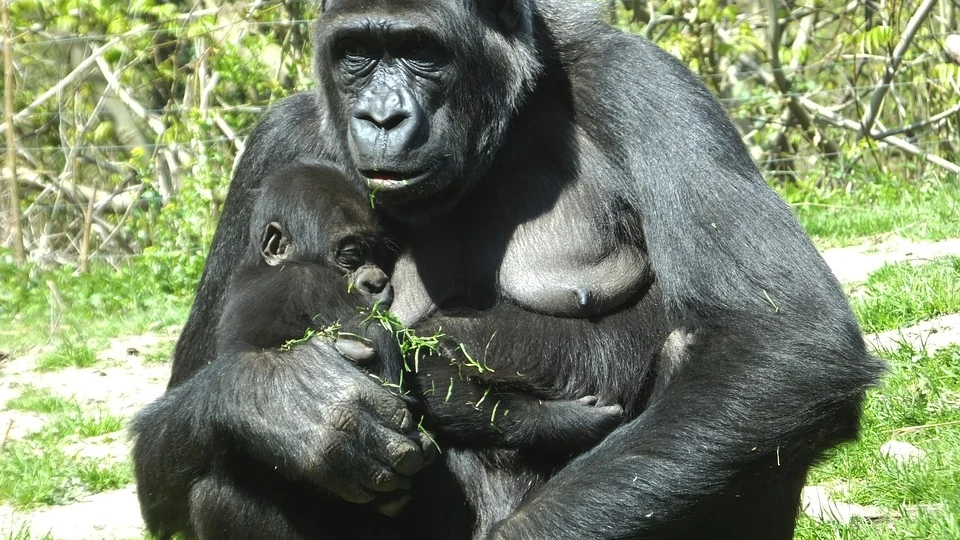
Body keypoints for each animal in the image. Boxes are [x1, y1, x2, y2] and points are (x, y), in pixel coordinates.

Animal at [218, 159, 624, 464]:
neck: (262, 265)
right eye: (351, 256)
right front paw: (558, 420)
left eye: (379, 254)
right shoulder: (315, 284)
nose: (378, 281)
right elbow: (398, 366)